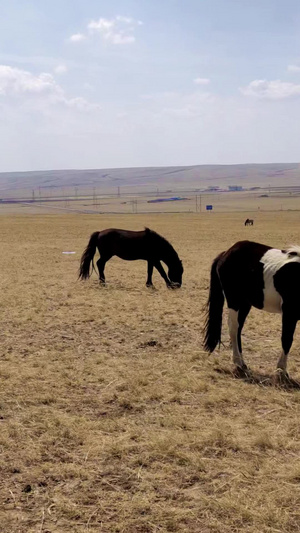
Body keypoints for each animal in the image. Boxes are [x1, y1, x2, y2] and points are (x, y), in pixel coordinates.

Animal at [204, 239, 300, 380]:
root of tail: (226, 253)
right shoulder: (289, 313)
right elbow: (287, 340)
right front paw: (281, 370)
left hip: (245, 303)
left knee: (239, 328)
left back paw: (242, 364)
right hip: (234, 300)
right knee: (234, 328)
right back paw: (238, 363)